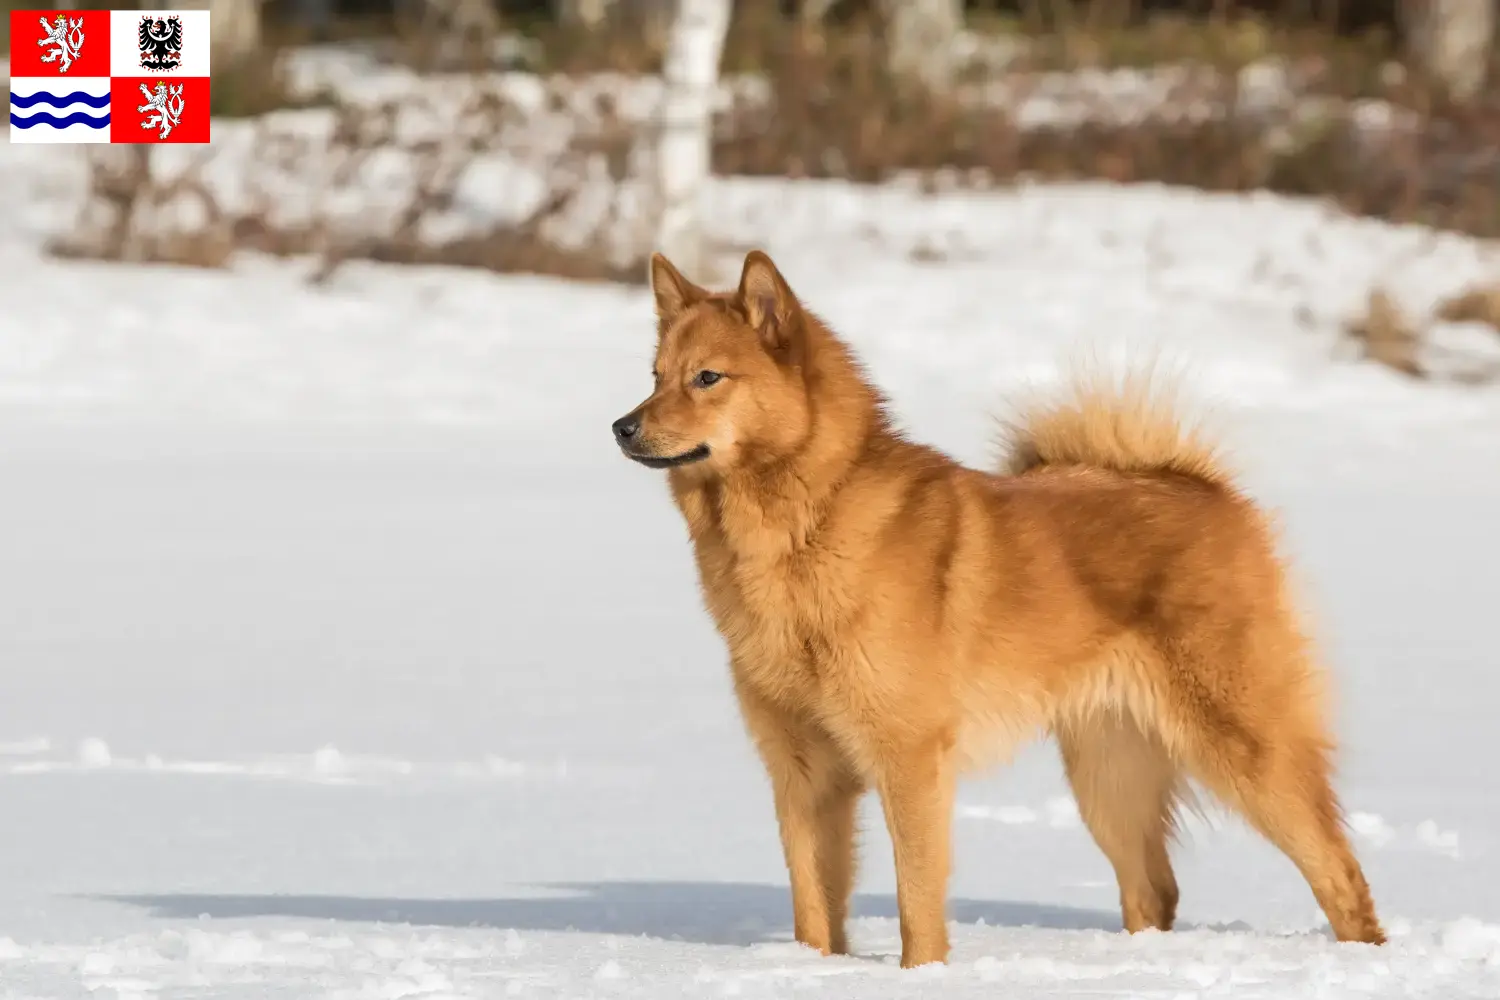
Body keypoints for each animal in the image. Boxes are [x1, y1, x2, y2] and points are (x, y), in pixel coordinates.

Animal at [609, 250, 1380, 971]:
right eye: (655, 374)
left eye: (708, 378)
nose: (621, 426)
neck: (807, 524)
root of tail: (1205, 490)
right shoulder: (802, 772)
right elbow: (814, 907)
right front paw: (811, 970)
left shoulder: (910, 761)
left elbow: (917, 903)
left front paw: (921, 974)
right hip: (1109, 775)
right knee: (1154, 891)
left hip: (1244, 750)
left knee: (1340, 872)